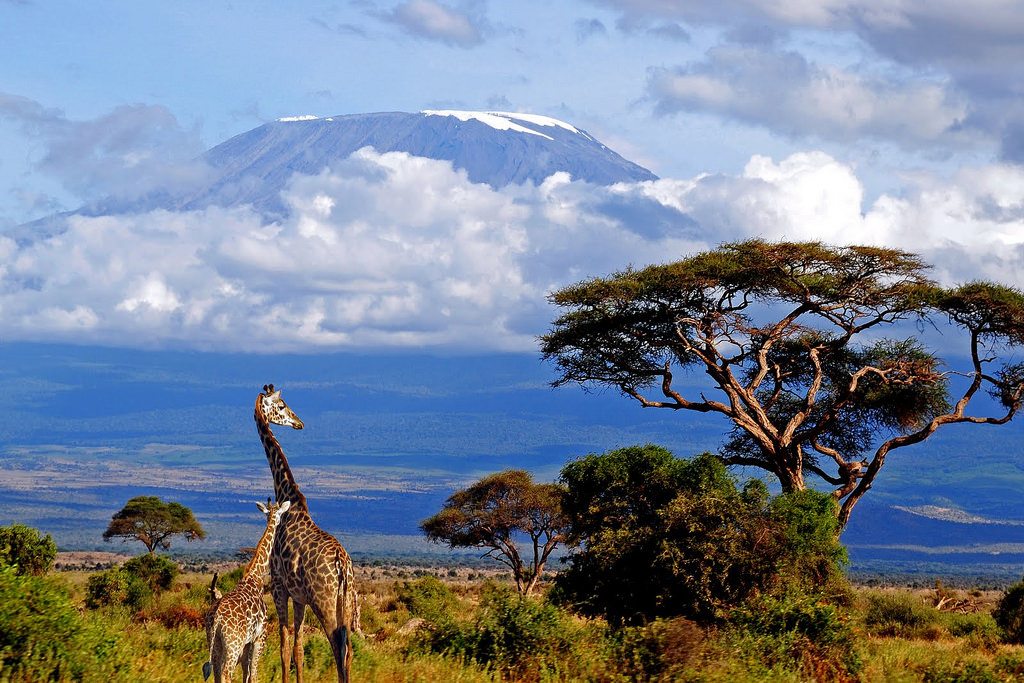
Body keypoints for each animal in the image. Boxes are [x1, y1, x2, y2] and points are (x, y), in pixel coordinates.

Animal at [202, 497, 292, 683]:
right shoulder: (259, 637)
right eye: (280, 515)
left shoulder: (246, 643)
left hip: (214, 641)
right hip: (233, 644)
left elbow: (246, 674)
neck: (256, 576)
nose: (279, 523)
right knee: (226, 674)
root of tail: (216, 617)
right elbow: (254, 674)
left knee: (216, 674)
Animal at [254, 385, 356, 683]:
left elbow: (284, 648)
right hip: (346, 602)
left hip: (324, 603)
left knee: (338, 647)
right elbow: (298, 649)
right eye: (282, 406)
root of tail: (342, 565)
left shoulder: (278, 586)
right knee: (349, 650)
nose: (299, 423)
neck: (287, 494)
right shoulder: (299, 597)